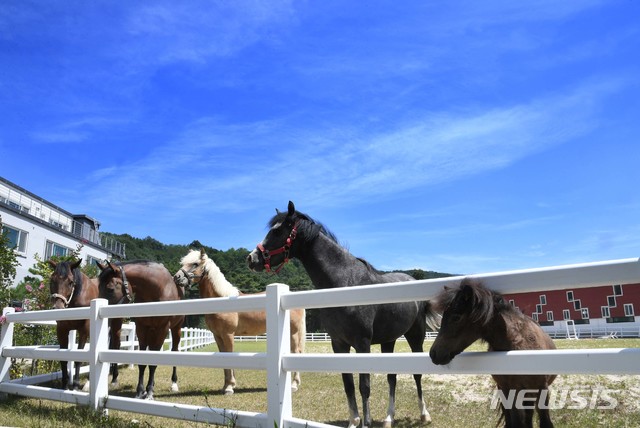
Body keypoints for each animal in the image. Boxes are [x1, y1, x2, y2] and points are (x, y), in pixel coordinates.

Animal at [48, 260, 123, 390]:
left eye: (70, 282)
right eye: (52, 280)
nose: (58, 307)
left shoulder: (84, 330)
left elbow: (79, 358)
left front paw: (76, 384)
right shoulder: (61, 330)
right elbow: (63, 358)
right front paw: (64, 385)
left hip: (116, 324)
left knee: (116, 346)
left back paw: (114, 378)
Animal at [97, 260, 185, 402]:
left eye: (110, 289)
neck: (157, 291)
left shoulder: (162, 330)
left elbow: (153, 364)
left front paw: (149, 393)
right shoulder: (142, 328)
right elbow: (142, 362)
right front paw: (140, 390)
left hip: (176, 329)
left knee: (175, 351)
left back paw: (174, 384)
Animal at [174, 249, 306, 396]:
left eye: (195, 264)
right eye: (183, 263)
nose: (176, 277)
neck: (221, 300)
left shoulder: (228, 335)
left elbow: (230, 356)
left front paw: (230, 387)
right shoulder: (218, 336)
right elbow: (223, 358)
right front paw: (225, 386)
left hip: (294, 332)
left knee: (296, 352)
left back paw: (294, 385)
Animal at [248, 201, 442, 428]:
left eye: (277, 231)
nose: (251, 258)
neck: (345, 283)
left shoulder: (362, 343)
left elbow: (364, 385)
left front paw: (366, 422)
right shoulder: (339, 343)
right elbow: (348, 384)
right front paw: (354, 421)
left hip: (415, 336)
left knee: (417, 374)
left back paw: (424, 414)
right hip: (389, 340)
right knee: (391, 377)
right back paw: (388, 418)